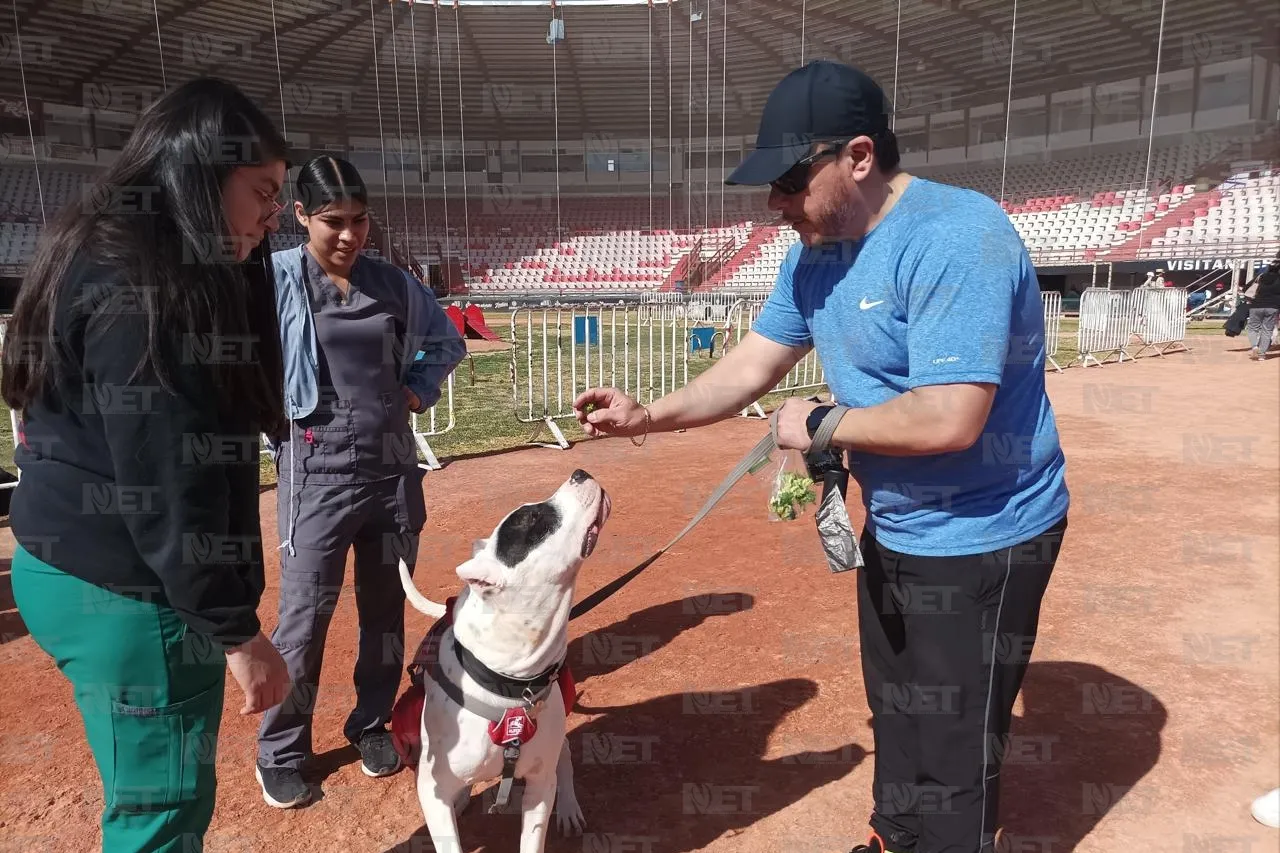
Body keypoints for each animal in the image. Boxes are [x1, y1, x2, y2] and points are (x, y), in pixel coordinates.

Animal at [396, 468, 611, 845]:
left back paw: (569, 807)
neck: (508, 682)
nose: (580, 472)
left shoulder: (539, 788)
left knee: (565, 758)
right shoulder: (432, 793)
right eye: (534, 518)